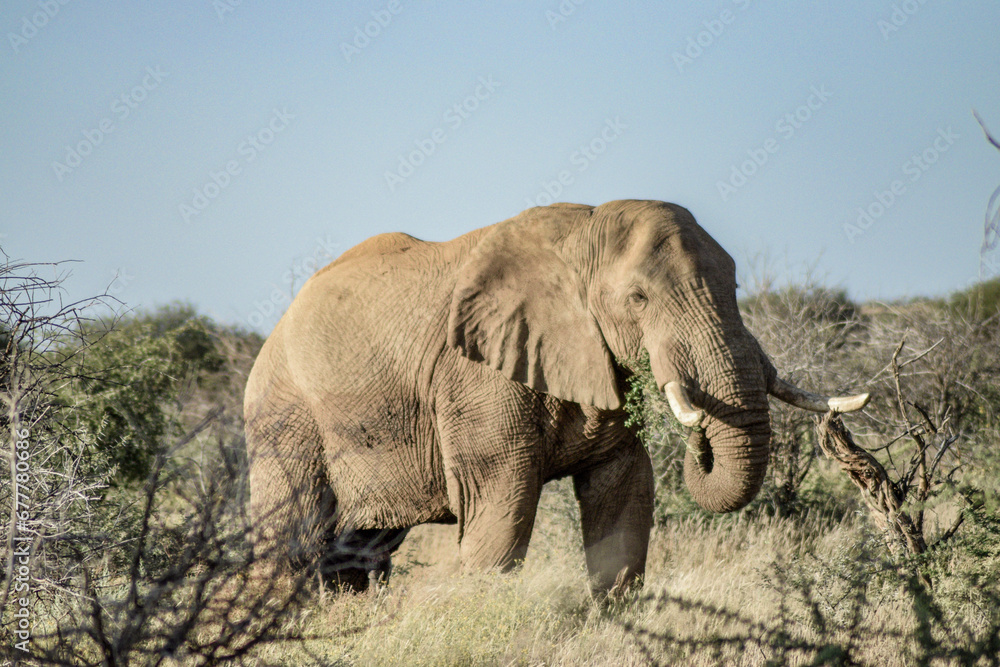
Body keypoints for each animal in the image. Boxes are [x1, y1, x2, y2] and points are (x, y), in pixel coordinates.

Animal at [243, 200, 868, 597]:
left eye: (734, 286)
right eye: (638, 299)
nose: (700, 439)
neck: (581, 235)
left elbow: (624, 494)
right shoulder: (475, 375)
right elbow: (502, 503)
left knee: (356, 552)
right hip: (284, 417)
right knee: (293, 543)